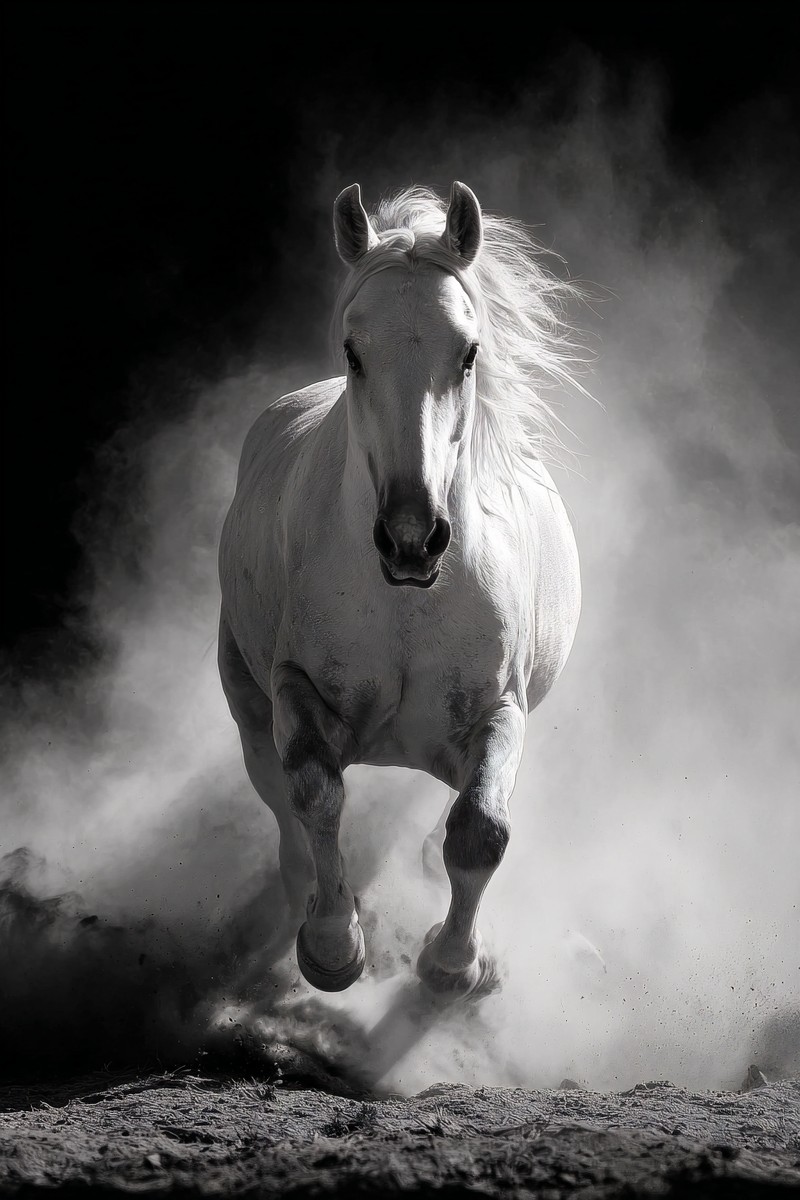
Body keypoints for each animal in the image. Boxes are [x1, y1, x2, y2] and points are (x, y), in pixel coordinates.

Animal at [218, 181, 583, 999]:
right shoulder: (294, 687)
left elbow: (480, 832)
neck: (408, 604)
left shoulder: (501, 707)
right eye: (354, 352)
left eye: (469, 352)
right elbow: (315, 795)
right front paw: (332, 946)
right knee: (275, 794)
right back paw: (301, 894)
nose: (412, 538)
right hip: (243, 690)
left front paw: (452, 965)